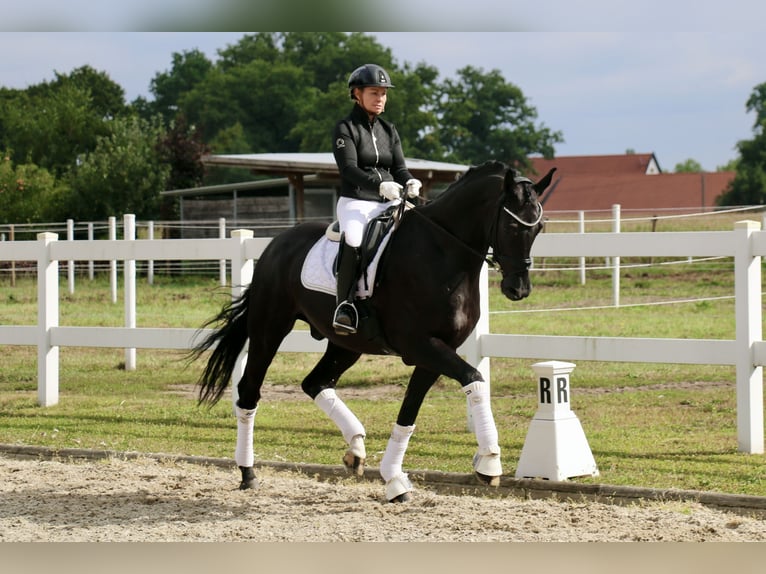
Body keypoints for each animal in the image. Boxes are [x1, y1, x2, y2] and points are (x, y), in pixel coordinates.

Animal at [190, 160, 556, 502]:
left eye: (539, 227)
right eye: (512, 225)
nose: (518, 289)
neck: (442, 251)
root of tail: (275, 245)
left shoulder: (435, 351)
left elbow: (410, 412)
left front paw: (394, 479)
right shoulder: (421, 345)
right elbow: (474, 379)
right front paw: (490, 462)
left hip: (346, 344)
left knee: (315, 383)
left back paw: (355, 448)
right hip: (270, 328)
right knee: (249, 391)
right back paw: (248, 472)